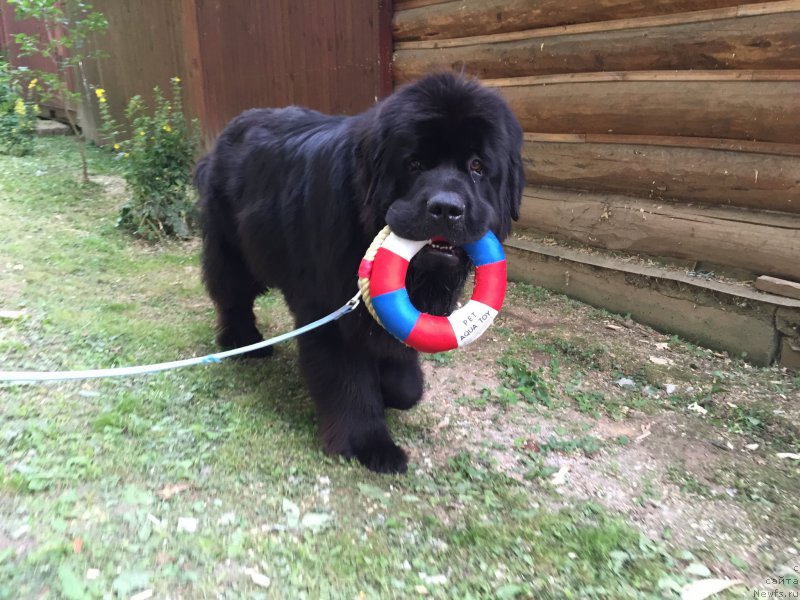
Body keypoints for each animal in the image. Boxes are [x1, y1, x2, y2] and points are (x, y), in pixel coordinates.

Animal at [196, 72, 524, 474]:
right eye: (414, 164)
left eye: (477, 166)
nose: (446, 208)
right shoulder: (330, 310)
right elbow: (347, 380)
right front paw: (369, 444)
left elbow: (402, 366)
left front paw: (395, 389)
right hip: (234, 251)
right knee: (232, 295)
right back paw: (242, 342)